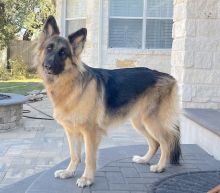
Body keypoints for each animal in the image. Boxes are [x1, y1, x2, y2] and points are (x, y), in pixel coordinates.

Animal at [36, 15, 180, 188]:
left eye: (63, 53)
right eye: (49, 49)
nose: (47, 66)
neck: (70, 84)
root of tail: (169, 77)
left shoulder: (90, 132)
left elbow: (89, 158)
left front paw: (87, 178)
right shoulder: (72, 131)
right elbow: (74, 155)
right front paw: (69, 172)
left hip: (151, 121)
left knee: (166, 142)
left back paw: (160, 166)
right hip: (140, 122)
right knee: (155, 143)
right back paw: (144, 159)